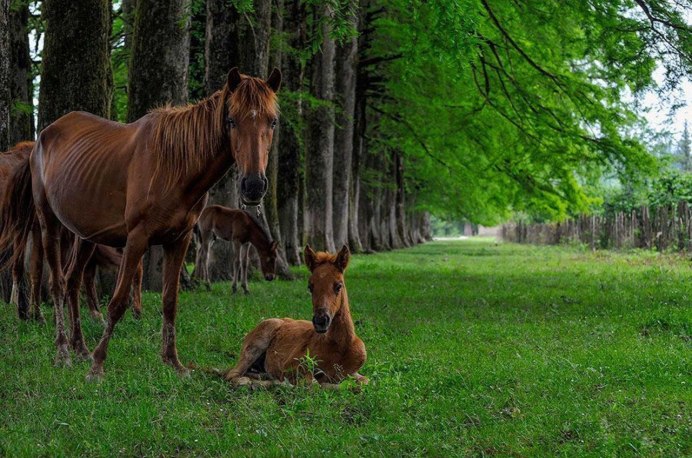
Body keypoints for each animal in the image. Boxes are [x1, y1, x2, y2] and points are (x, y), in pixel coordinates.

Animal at [0, 67, 281, 378]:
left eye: (273, 121)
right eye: (231, 120)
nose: (253, 186)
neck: (174, 164)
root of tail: (40, 139)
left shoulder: (179, 240)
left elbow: (169, 301)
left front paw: (172, 361)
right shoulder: (137, 238)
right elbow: (118, 301)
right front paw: (98, 364)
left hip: (86, 236)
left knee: (73, 282)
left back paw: (79, 347)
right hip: (48, 225)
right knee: (58, 284)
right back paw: (63, 351)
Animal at [225, 245, 368, 388]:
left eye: (338, 286)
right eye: (310, 287)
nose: (321, 321)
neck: (341, 347)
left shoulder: (353, 373)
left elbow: (364, 381)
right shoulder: (291, 365)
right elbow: (314, 384)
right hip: (256, 344)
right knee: (233, 375)